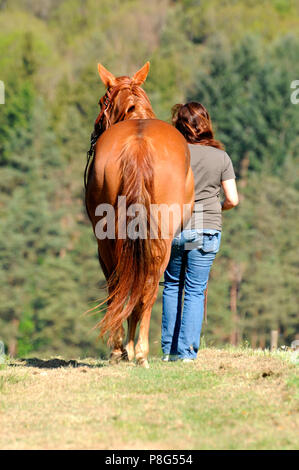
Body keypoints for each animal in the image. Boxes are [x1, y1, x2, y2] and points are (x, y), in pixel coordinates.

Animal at [85, 61, 195, 368]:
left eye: (101, 101)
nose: (95, 130)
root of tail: (139, 143)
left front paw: (124, 349)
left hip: (109, 240)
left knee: (123, 283)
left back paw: (124, 350)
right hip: (159, 240)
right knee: (145, 284)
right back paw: (139, 351)